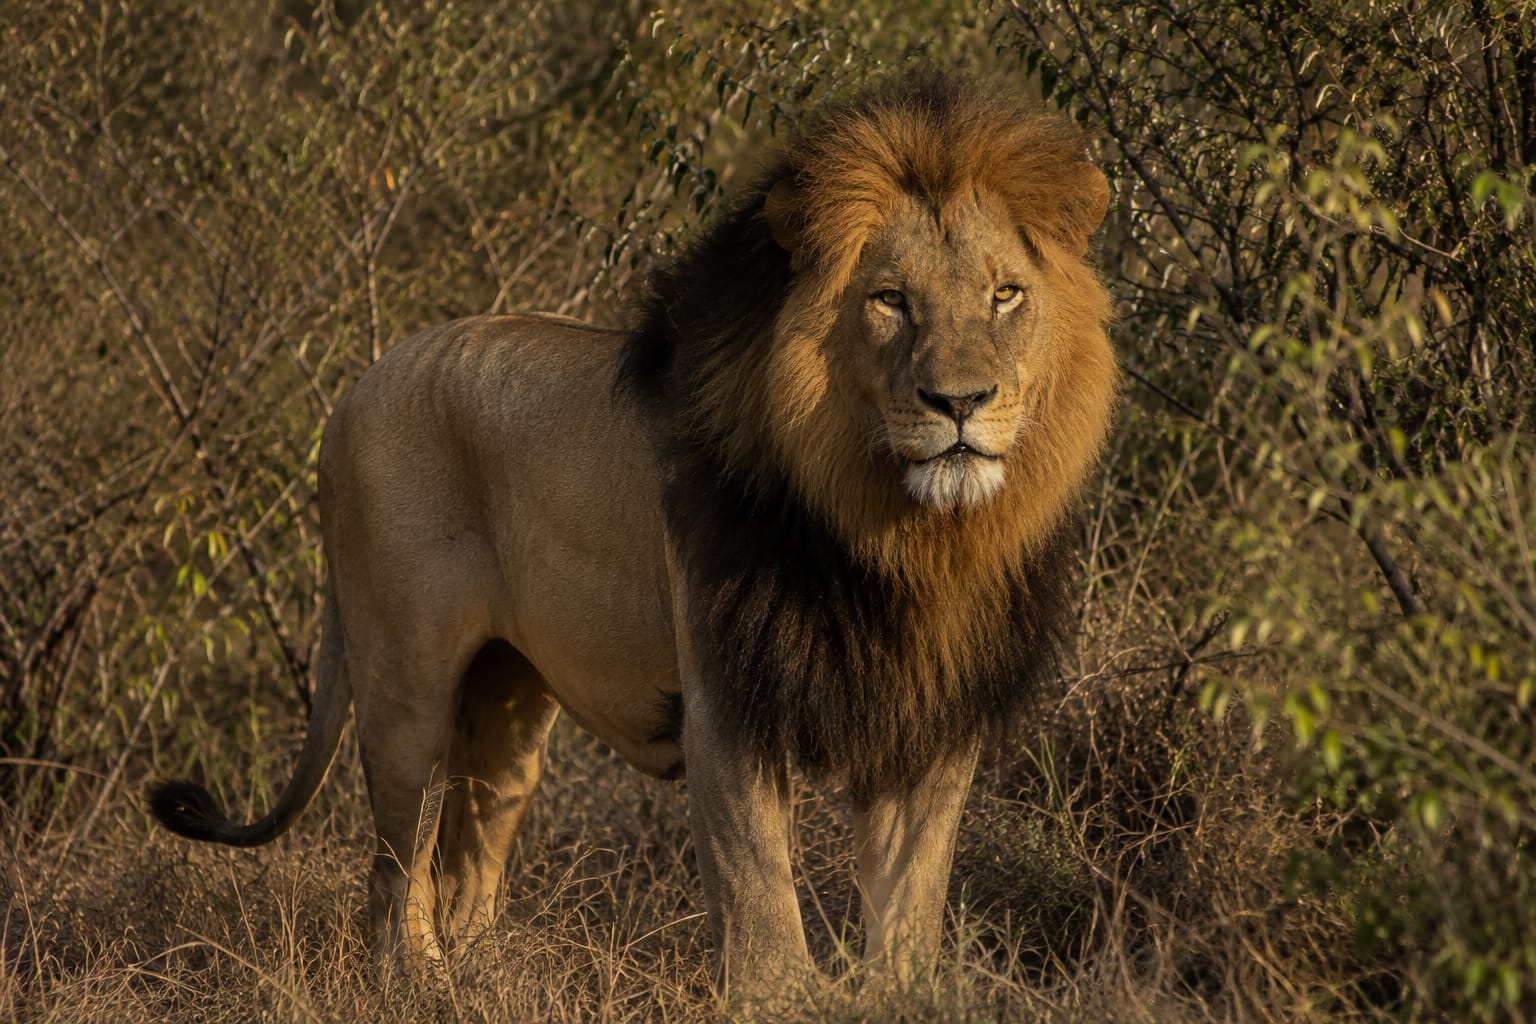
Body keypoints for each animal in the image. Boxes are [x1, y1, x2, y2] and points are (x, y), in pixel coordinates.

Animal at [150, 73, 1116, 1004]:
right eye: (890, 301)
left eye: (1005, 293)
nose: (960, 402)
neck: (902, 540)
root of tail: (353, 393)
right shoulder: (726, 687)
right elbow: (756, 875)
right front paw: (781, 996)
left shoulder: (932, 700)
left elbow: (915, 881)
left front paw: (901, 990)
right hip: (404, 681)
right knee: (394, 874)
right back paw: (417, 986)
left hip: (508, 708)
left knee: (468, 861)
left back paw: (487, 976)